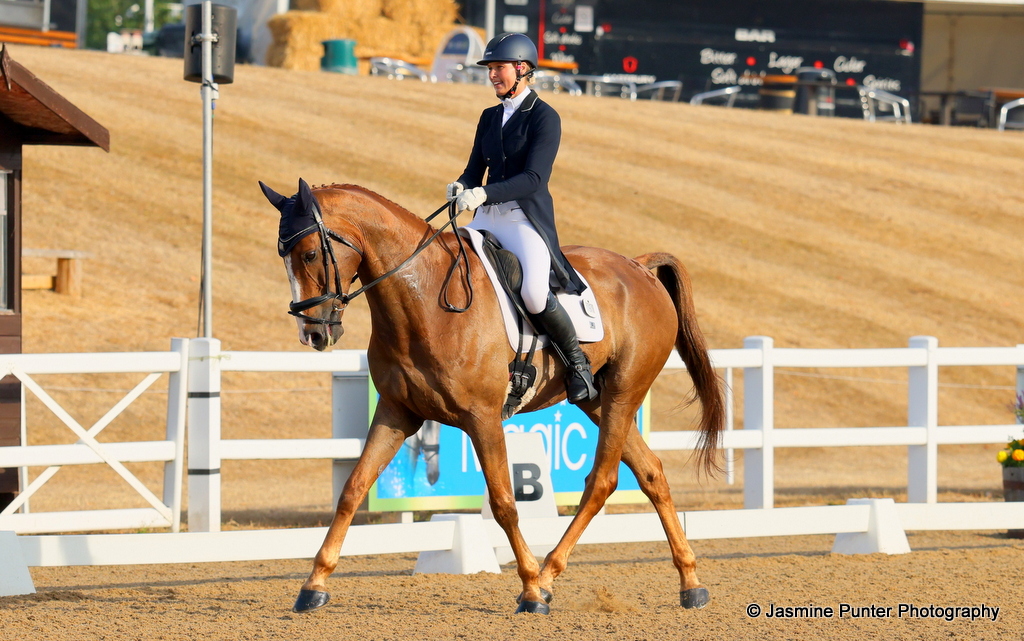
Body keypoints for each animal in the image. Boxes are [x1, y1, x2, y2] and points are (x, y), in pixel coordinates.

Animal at [259, 178, 725, 615]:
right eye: (283, 256)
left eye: (309, 254)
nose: (313, 334)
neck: (424, 299)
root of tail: (638, 266)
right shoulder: (396, 413)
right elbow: (353, 490)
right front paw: (314, 585)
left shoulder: (482, 417)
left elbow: (504, 503)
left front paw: (531, 590)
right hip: (596, 399)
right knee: (651, 473)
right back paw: (691, 584)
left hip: (624, 393)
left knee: (602, 481)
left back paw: (548, 576)